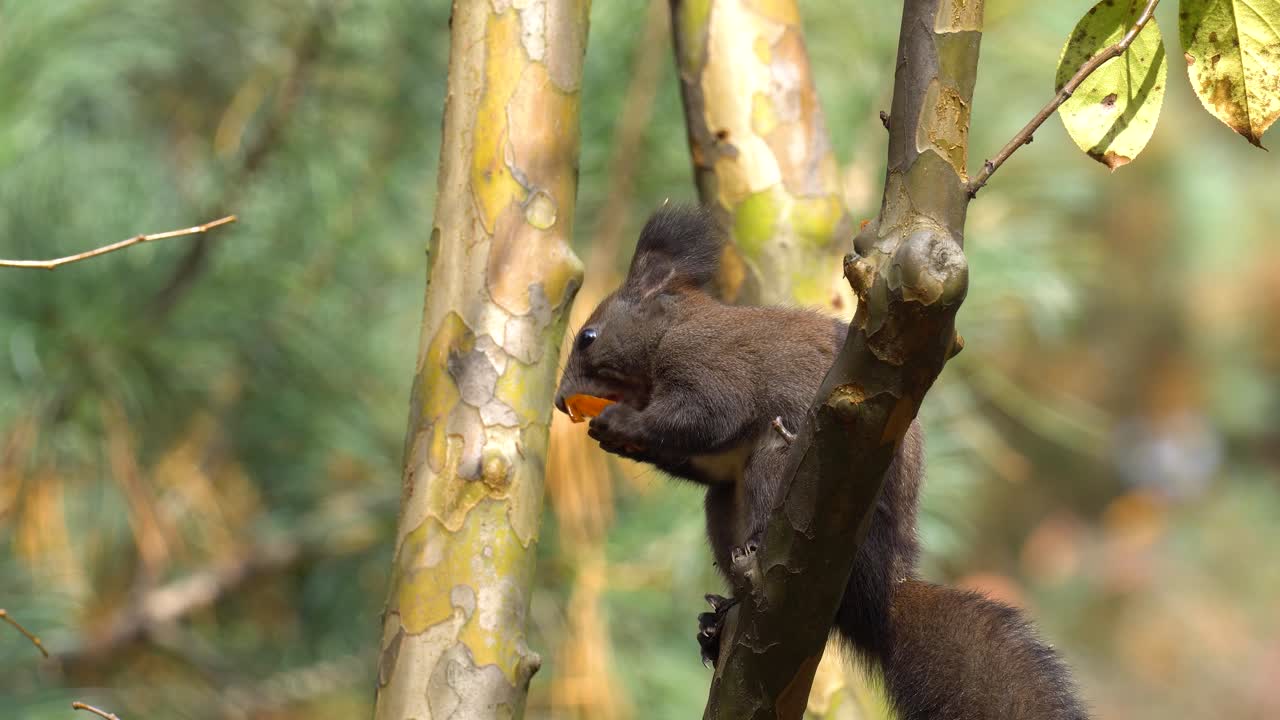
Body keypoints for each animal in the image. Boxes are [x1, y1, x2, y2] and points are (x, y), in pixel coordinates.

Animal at [554, 206, 1087, 720]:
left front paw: (620, 424)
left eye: (588, 336)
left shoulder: (711, 368)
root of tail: (881, 589)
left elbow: (702, 416)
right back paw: (718, 621)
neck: (672, 328)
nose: (561, 402)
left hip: (785, 469)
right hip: (724, 510)